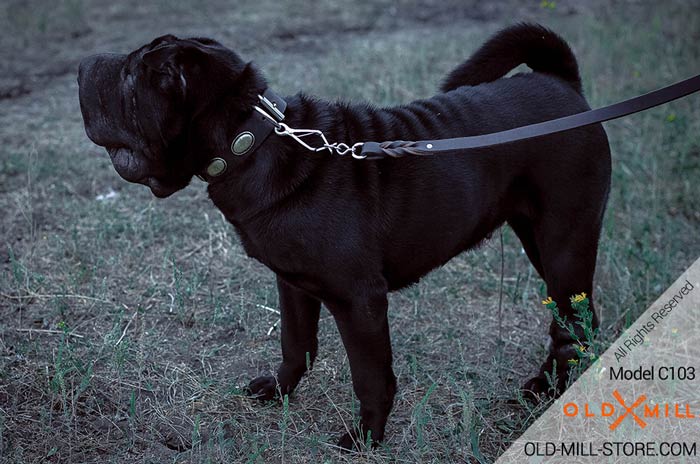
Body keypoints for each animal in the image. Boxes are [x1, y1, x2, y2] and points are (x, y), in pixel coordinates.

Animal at [79, 23, 608, 448]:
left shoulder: (360, 302)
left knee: (572, 322)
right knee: (577, 320)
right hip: (537, 239)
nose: (83, 65)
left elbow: (371, 378)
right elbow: (295, 345)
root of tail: (562, 83)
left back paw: (551, 391)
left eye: (132, 78)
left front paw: (365, 437)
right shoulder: (292, 285)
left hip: (563, 240)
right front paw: (278, 392)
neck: (252, 142)